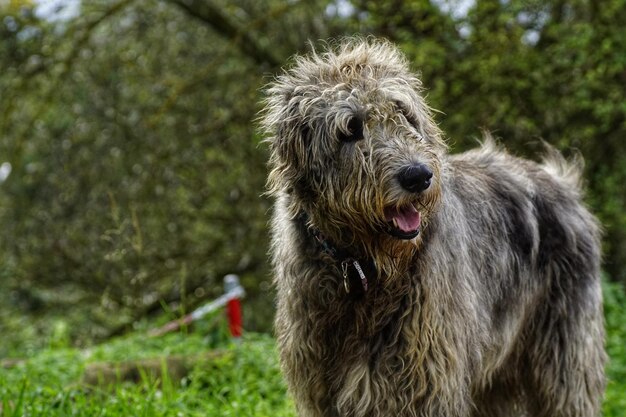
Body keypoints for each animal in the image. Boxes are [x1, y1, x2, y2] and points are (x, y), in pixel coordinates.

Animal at [260, 39, 604, 416]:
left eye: (405, 115)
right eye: (350, 129)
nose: (418, 176)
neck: (364, 269)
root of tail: (560, 181)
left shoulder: (427, 381)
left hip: (564, 357)